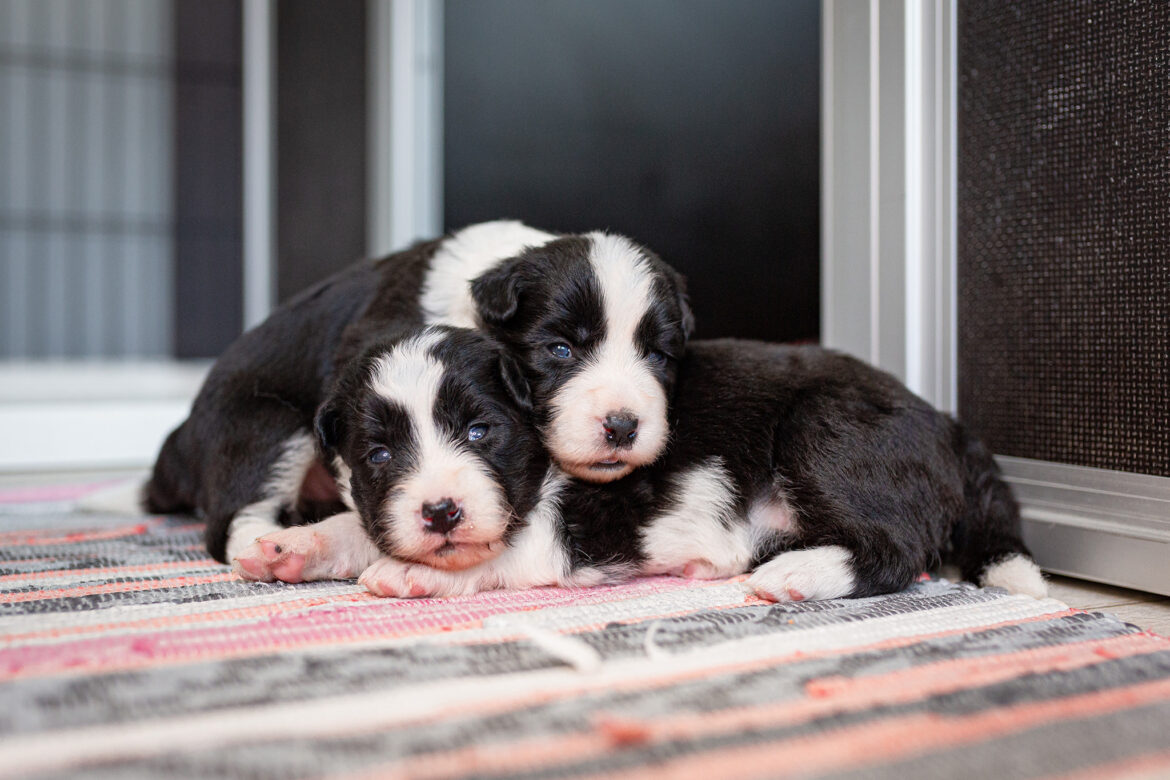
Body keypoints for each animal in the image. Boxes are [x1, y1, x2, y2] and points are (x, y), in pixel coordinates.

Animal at [146, 219, 692, 568]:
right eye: (560, 349)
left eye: (658, 355)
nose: (622, 426)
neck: (477, 293)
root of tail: (178, 445)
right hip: (265, 426)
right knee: (233, 521)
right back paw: (272, 545)